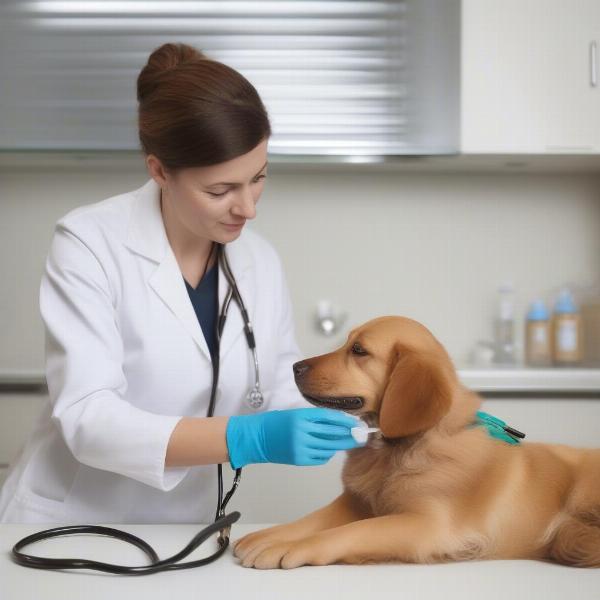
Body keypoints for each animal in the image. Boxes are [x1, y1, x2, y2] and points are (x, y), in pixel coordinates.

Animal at [232, 316, 600, 568]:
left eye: (359, 350)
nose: (295, 366)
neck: (396, 449)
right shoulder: (353, 503)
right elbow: (309, 521)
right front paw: (269, 536)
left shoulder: (426, 526)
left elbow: (347, 533)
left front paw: (291, 547)